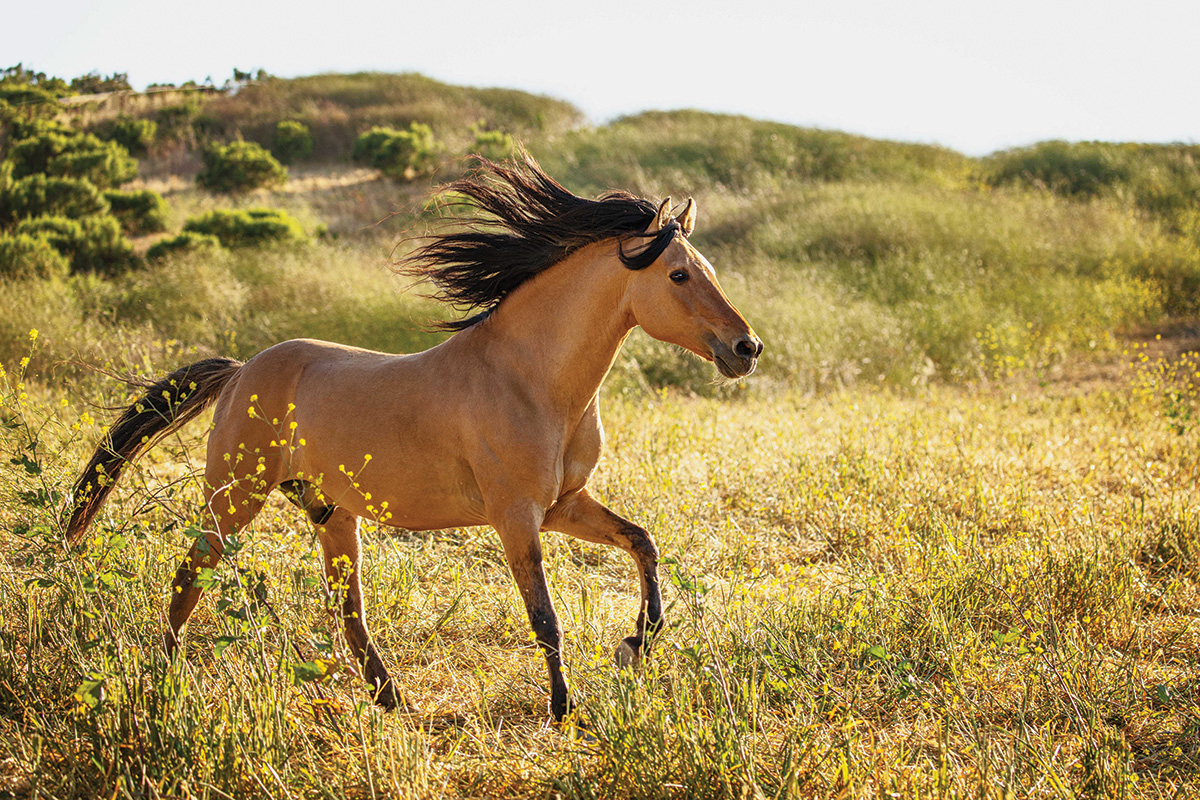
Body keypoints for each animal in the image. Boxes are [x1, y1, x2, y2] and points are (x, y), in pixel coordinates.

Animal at [63, 158, 758, 724]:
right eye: (678, 276)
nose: (746, 348)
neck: (531, 378)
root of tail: (240, 373)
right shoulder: (515, 517)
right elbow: (546, 619)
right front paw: (565, 711)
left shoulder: (563, 506)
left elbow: (643, 544)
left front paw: (636, 644)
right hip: (236, 500)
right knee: (190, 575)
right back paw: (166, 683)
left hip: (331, 514)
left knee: (348, 613)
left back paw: (391, 699)